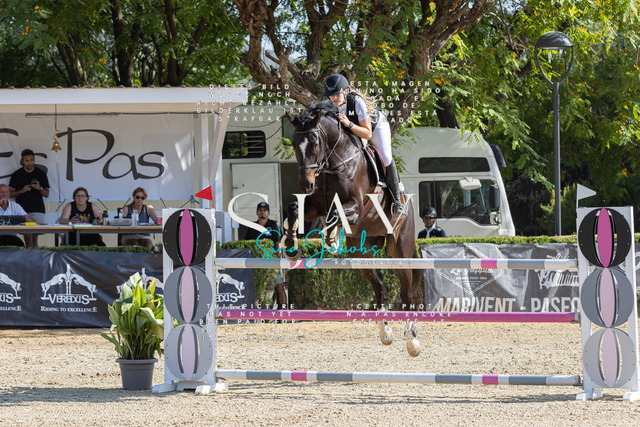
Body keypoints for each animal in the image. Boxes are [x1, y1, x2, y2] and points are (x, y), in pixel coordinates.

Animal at [282, 100, 421, 354]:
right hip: (361, 252)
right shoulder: (314, 205)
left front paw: (331, 240)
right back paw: (385, 331)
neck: (334, 162)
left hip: (400, 249)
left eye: (315, 143)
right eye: (295, 144)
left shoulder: (355, 207)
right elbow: (294, 209)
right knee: (379, 286)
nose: (306, 184)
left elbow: (334, 215)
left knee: (407, 293)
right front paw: (291, 248)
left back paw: (411, 338)